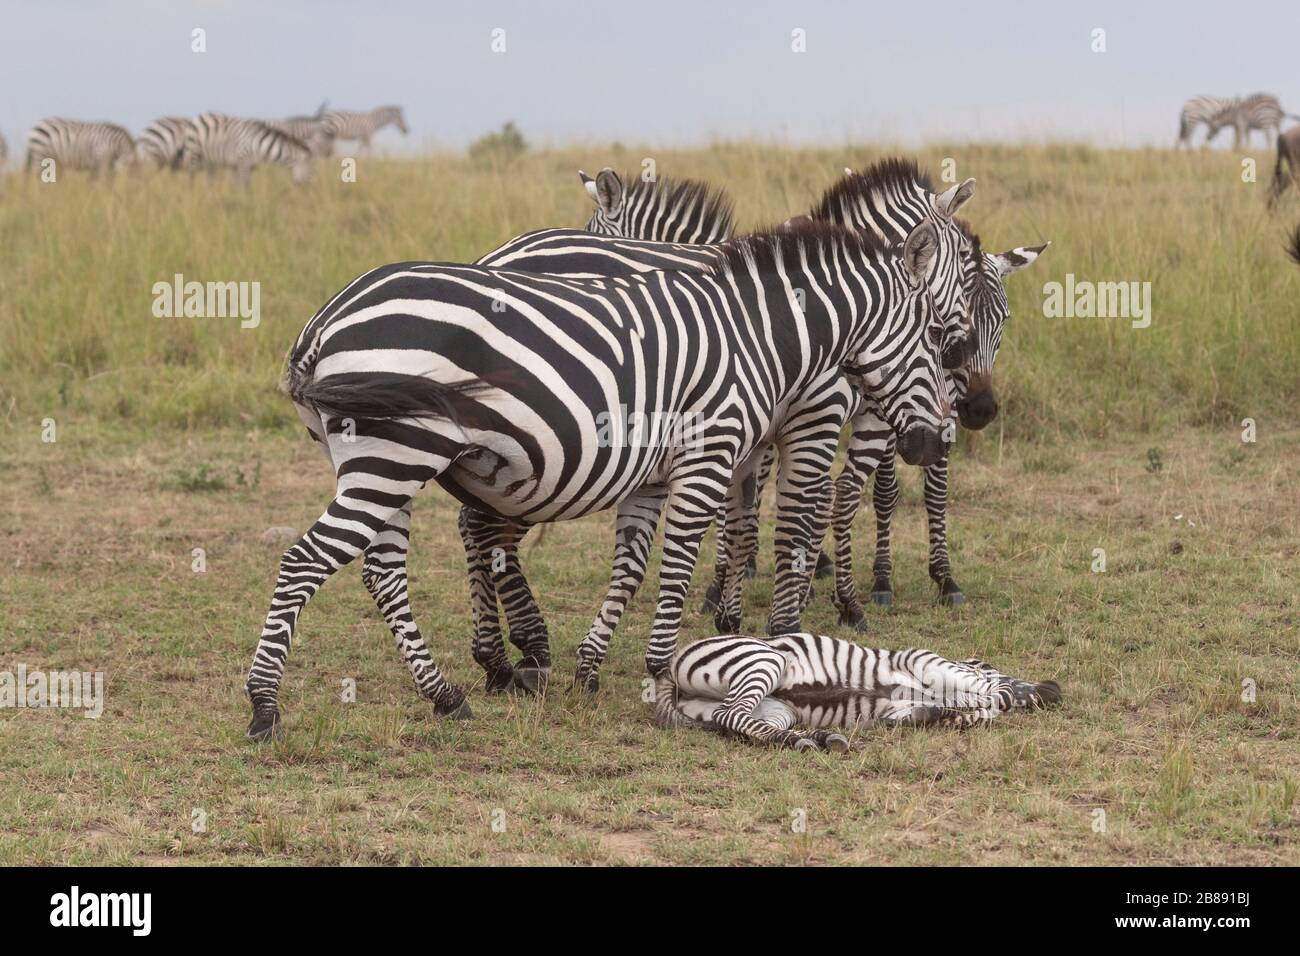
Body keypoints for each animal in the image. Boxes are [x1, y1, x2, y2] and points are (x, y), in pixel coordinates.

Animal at [182, 112, 313, 183]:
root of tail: (200, 115)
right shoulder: (243, 162)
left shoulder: (250, 166)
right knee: (191, 177)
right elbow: (246, 186)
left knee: (209, 180)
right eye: (307, 165)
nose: (306, 185)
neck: (258, 145)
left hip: (210, 160)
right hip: (194, 154)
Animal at [243, 220, 960, 740]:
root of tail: (322, 324)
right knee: (306, 560)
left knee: (382, 572)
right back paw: (264, 707)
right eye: (934, 337)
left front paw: (590, 667)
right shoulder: (710, 451)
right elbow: (678, 564)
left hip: (385, 460)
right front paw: (663, 678)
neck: (757, 336)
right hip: (394, 455)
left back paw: (445, 696)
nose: (930, 443)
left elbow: (632, 566)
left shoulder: (652, 473)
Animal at [653, 632, 1061, 750]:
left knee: (742, 722)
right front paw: (994, 698)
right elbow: (990, 692)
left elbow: (966, 712)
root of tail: (668, 673)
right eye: (990, 663)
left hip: (774, 709)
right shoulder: (924, 661)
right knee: (731, 713)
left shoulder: (896, 710)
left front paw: (950, 713)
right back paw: (806, 740)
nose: (1055, 689)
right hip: (763, 659)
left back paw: (813, 738)